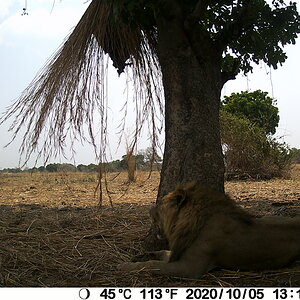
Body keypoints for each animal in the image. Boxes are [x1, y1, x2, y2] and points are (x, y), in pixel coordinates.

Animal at [118, 183, 300, 278]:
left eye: (160, 203)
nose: (149, 209)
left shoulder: (190, 267)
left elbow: (152, 265)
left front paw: (126, 266)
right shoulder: (179, 253)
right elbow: (162, 252)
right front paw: (141, 255)